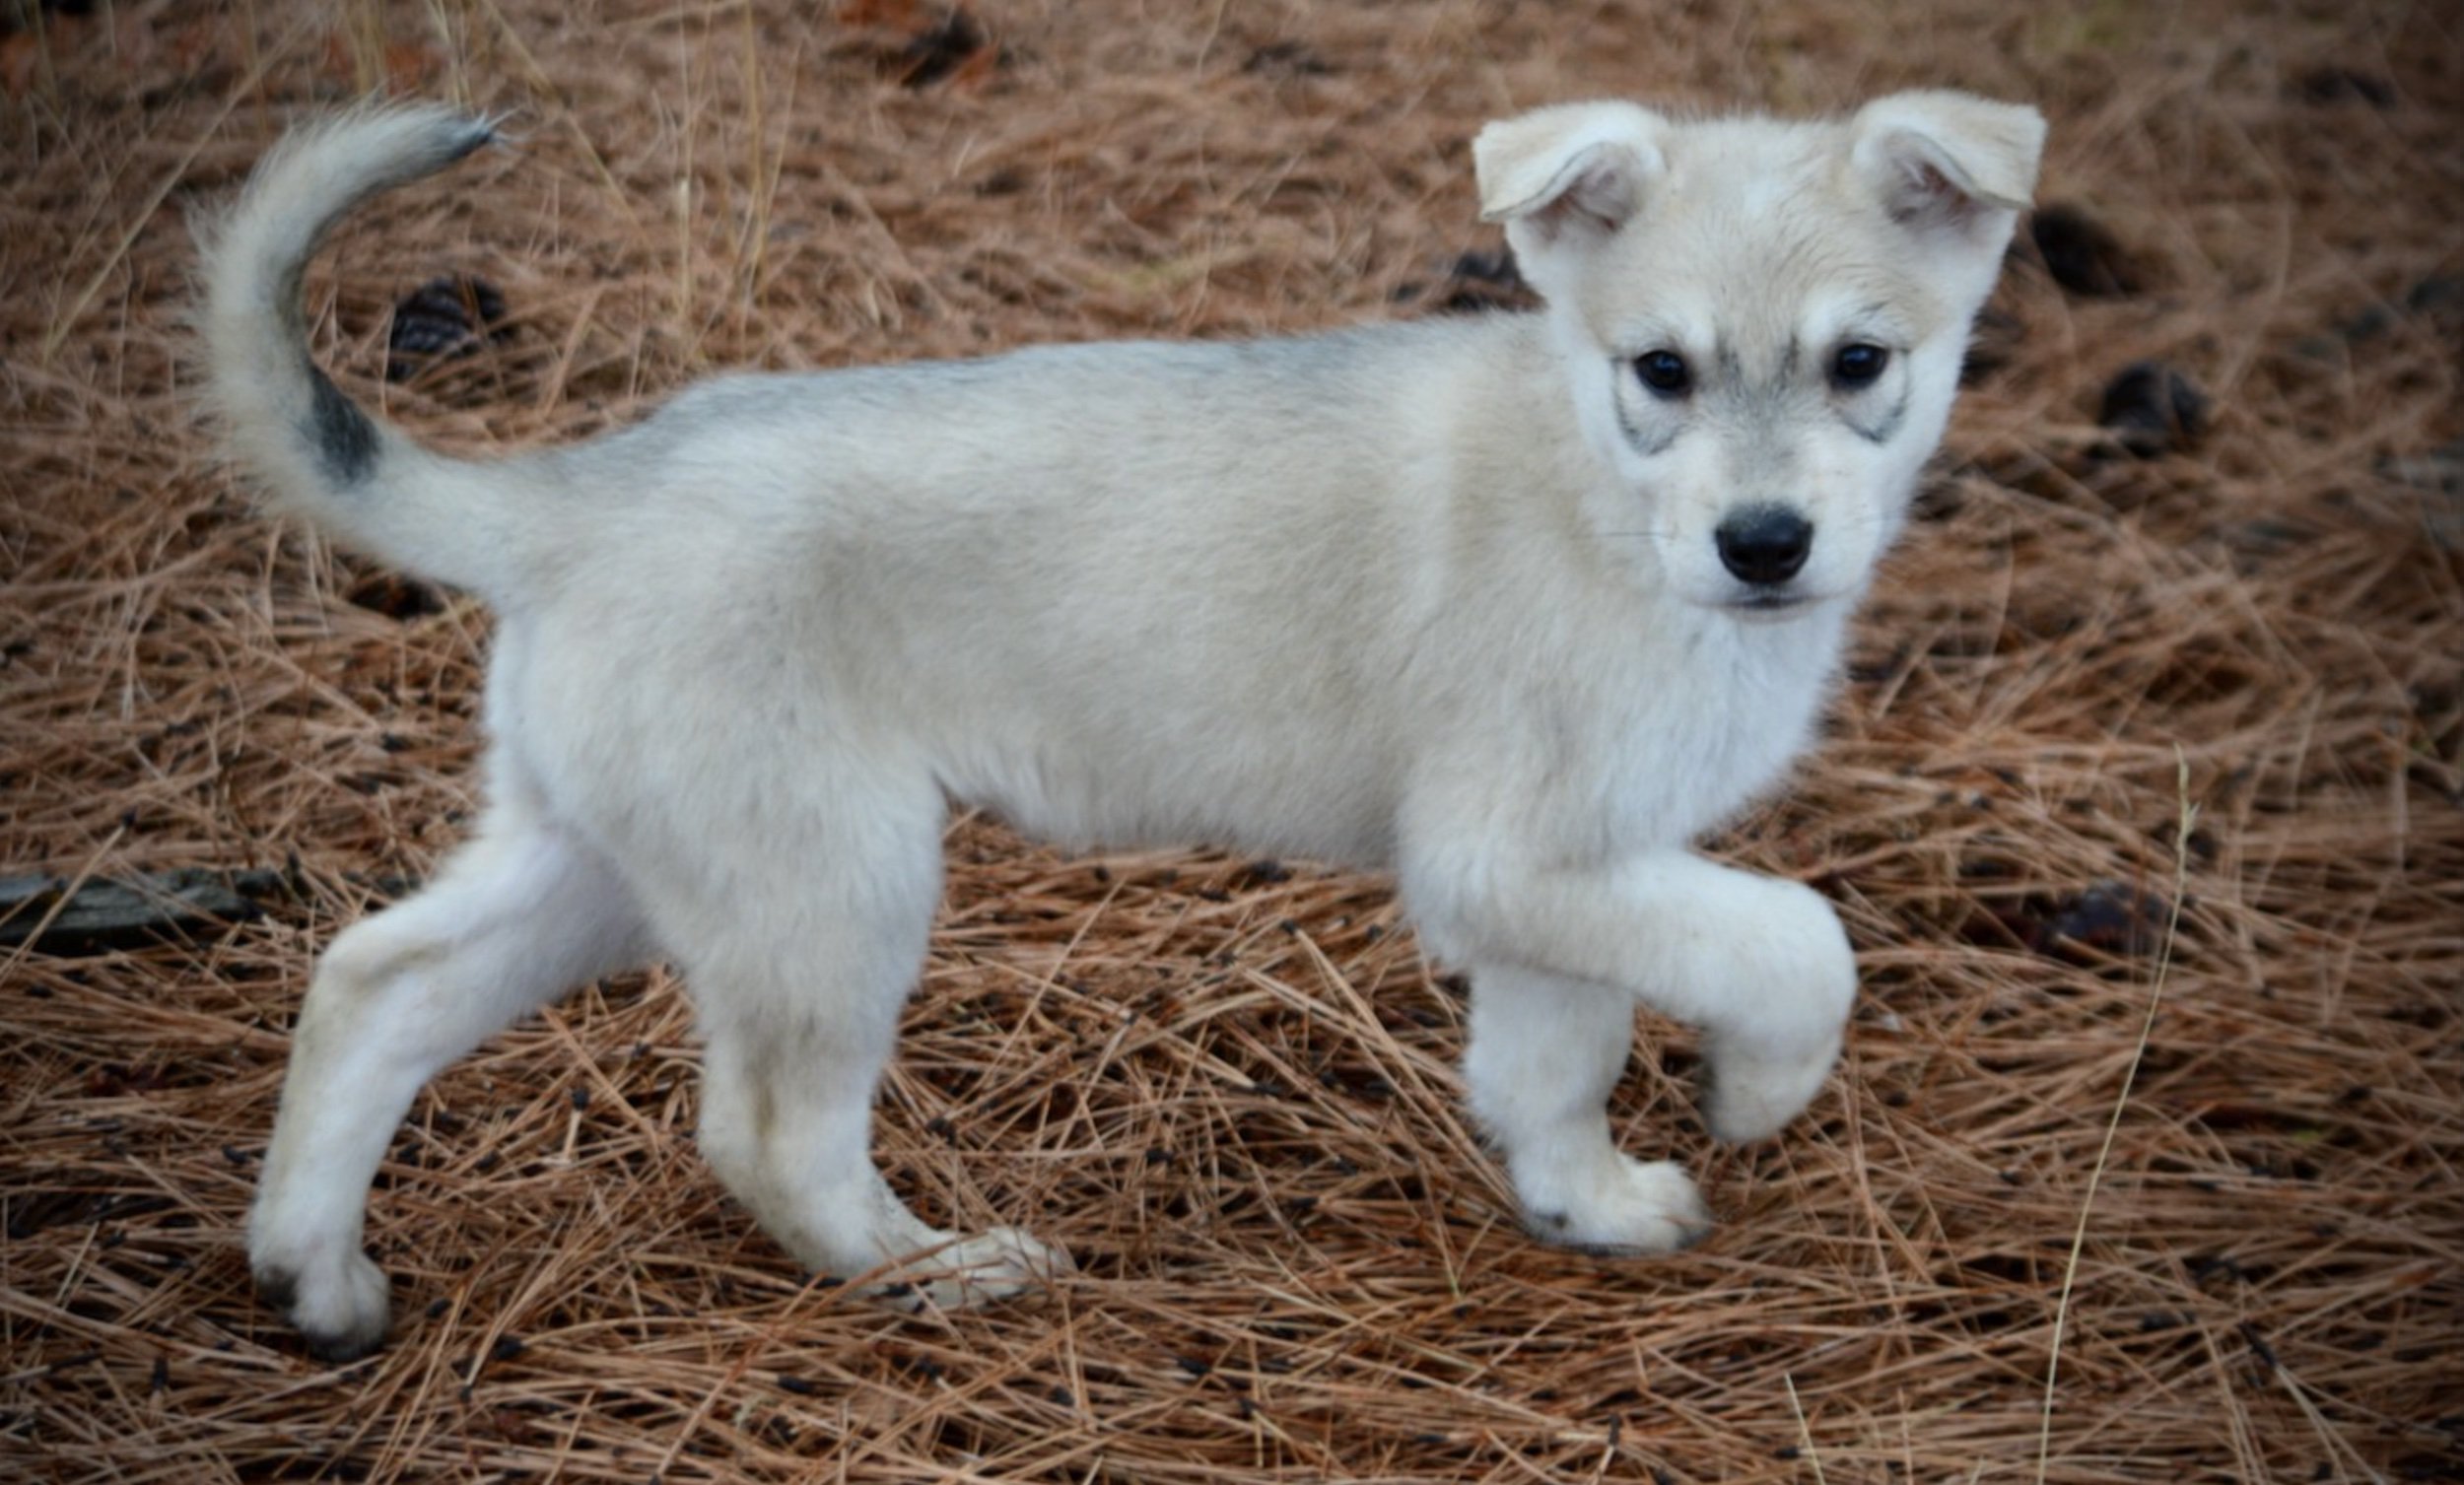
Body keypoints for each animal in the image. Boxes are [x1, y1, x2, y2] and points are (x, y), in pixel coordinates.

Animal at [202, 96, 2040, 1369]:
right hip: (831, 888)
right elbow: (1798, 941)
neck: (1605, 493)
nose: (1765, 546)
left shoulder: (1564, 881)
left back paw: (318, 1277)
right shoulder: (1510, 857)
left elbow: (1552, 1069)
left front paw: (1589, 1205)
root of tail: (575, 500)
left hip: (611, 862)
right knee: (769, 1135)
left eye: (1861, 363)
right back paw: (942, 1271)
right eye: (1662, 370)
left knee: (372, 982)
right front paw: (1756, 1091)